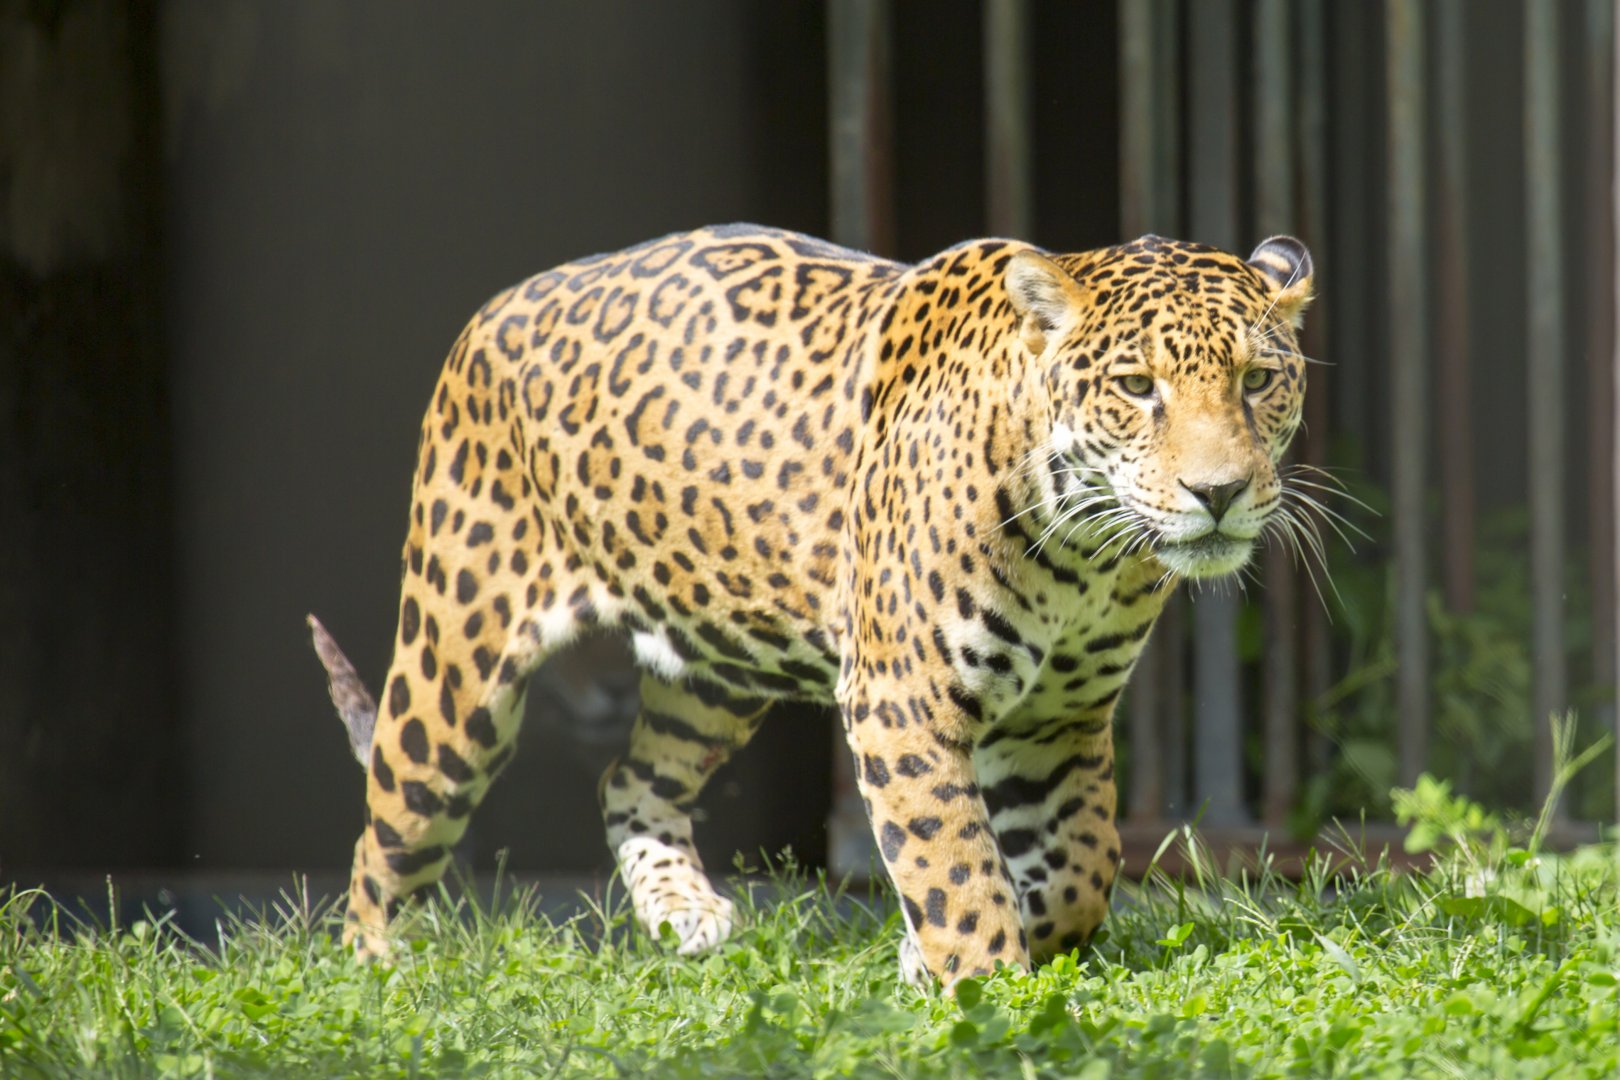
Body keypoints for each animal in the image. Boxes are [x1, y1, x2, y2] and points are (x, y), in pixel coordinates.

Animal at [308, 223, 1314, 991]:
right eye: (1137, 388)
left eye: (1258, 381)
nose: (1219, 492)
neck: (1085, 554)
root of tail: (493, 309)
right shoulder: (903, 703)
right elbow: (954, 865)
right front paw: (988, 994)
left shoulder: (1056, 720)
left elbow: (1081, 867)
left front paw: (949, 953)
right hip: (456, 674)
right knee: (383, 833)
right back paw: (380, 974)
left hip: (716, 668)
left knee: (631, 779)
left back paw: (686, 914)